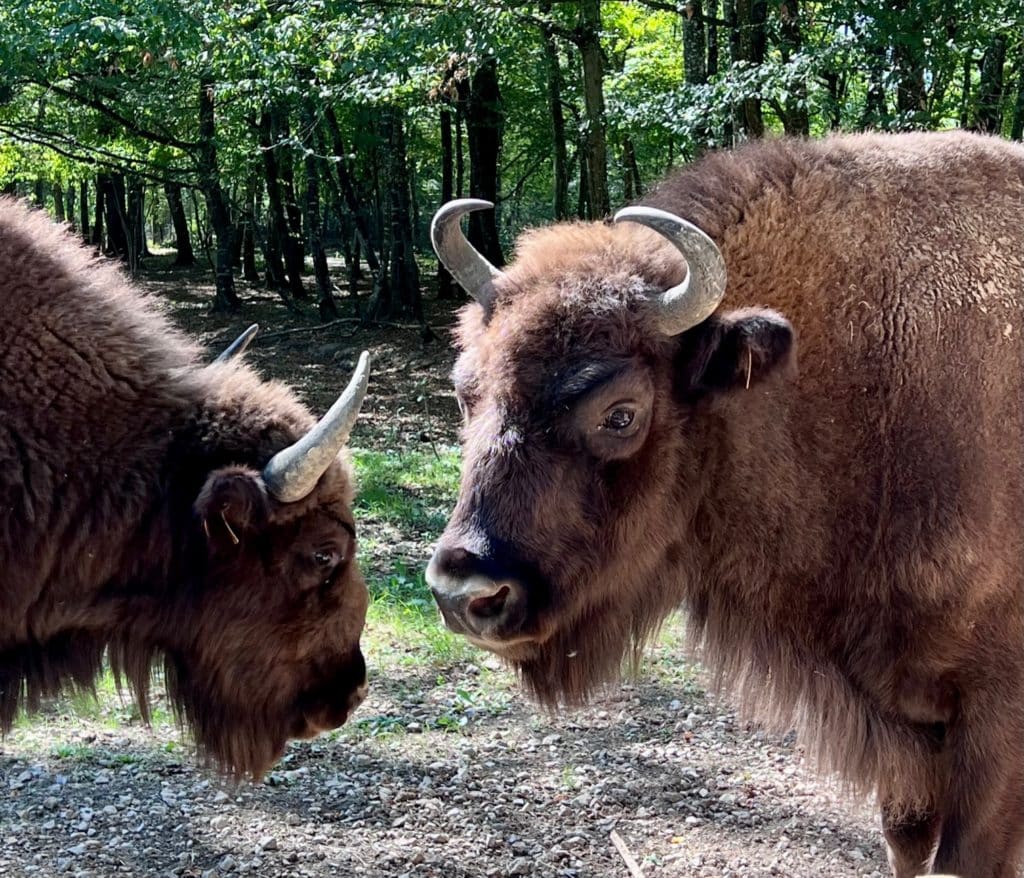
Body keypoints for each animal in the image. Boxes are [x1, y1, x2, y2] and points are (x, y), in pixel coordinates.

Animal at [428, 132, 1024, 876]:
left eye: (621, 413)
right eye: (465, 391)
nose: (466, 592)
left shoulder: (993, 726)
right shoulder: (906, 733)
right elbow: (906, 843)